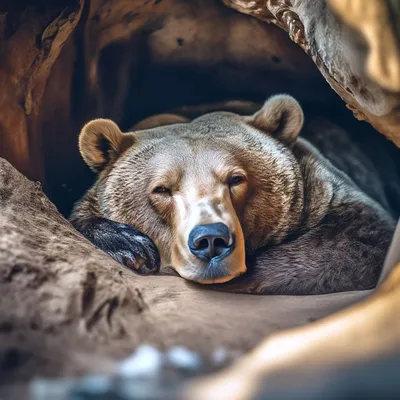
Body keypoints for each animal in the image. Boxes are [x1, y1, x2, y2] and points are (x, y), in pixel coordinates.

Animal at [69, 94, 396, 294]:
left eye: (235, 179)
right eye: (162, 189)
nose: (210, 239)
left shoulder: (323, 186)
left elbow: (351, 240)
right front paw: (132, 247)